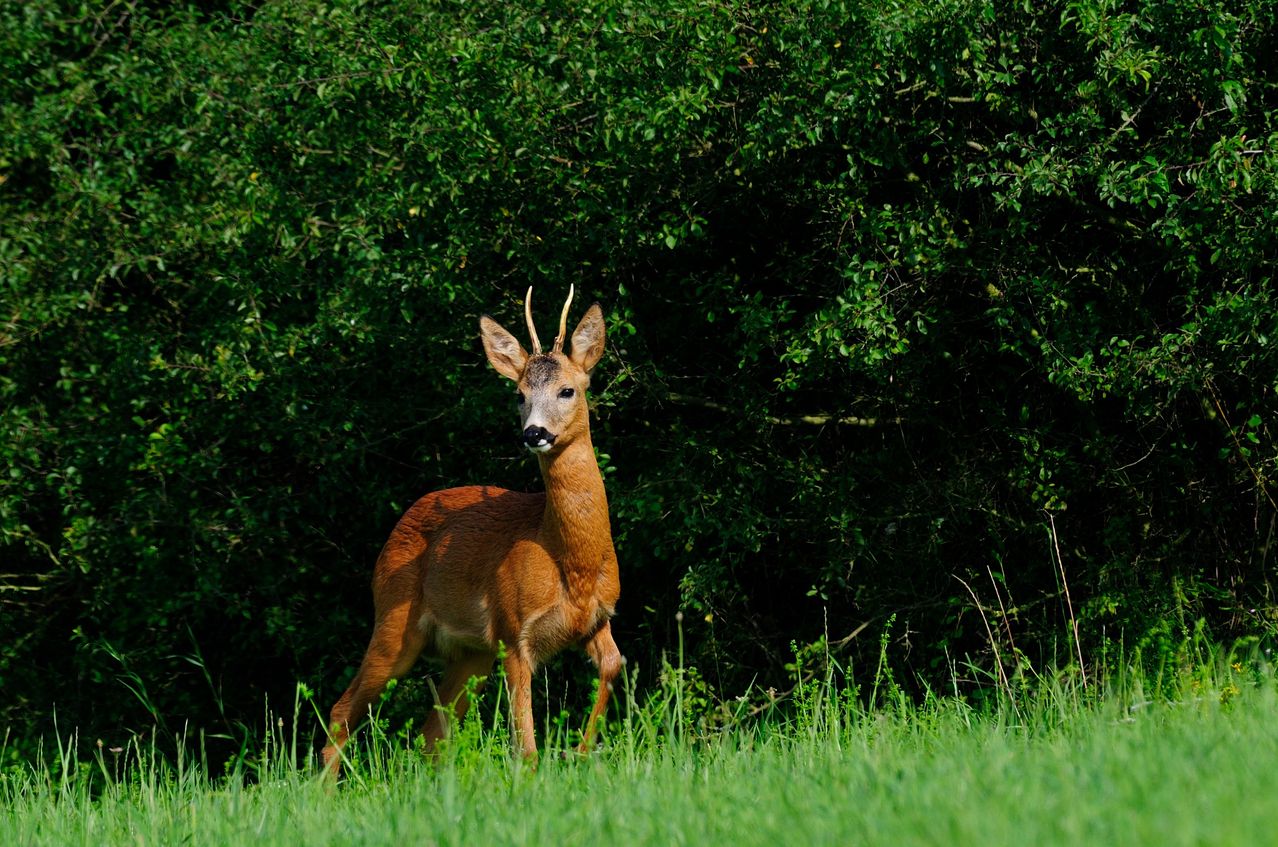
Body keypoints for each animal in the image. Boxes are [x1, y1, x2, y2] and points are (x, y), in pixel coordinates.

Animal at [321, 286, 622, 777]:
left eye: (568, 390)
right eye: (518, 394)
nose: (534, 433)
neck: (570, 558)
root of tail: (398, 525)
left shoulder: (597, 617)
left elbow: (613, 666)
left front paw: (579, 752)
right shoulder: (514, 629)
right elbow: (526, 745)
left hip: (471, 654)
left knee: (432, 730)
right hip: (393, 622)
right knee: (343, 711)